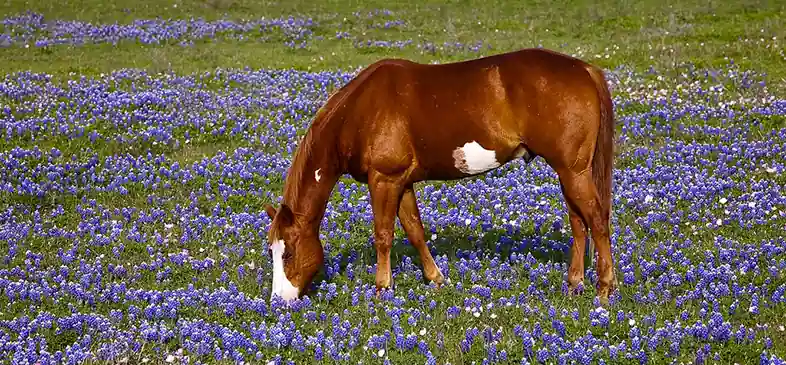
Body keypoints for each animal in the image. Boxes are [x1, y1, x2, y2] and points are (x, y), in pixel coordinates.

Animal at [266, 47, 616, 304]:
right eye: (272, 252)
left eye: (289, 252)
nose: (279, 301)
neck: (361, 111)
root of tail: (585, 70)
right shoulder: (403, 183)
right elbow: (415, 232)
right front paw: (436, 279)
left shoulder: (384, 180)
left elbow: (383, 235)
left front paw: (382, 289)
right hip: (569, 173)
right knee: (579, 223)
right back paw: (574, 284)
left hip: (574, 173)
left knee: (597, 222)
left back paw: (604, 289)